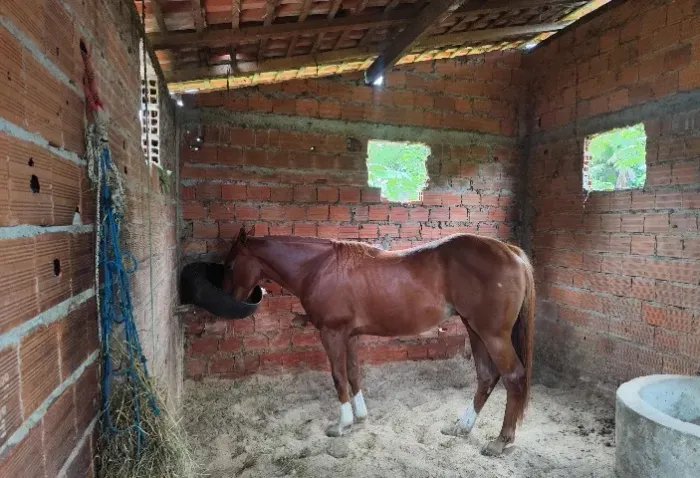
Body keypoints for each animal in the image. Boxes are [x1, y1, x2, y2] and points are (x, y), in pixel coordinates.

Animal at [222, 227, 535, 456]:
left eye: (230, 264)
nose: (230, 303)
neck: (318, 268)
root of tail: (512, 252)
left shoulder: (332, 333)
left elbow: (338, 376)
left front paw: (342, 424)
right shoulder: (349, 335)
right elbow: (353, 373)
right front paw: (360, 416)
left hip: (493, 335)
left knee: (513, 377)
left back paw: (501, 441)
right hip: (475, 329)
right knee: (487, 376)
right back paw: (462, 427)